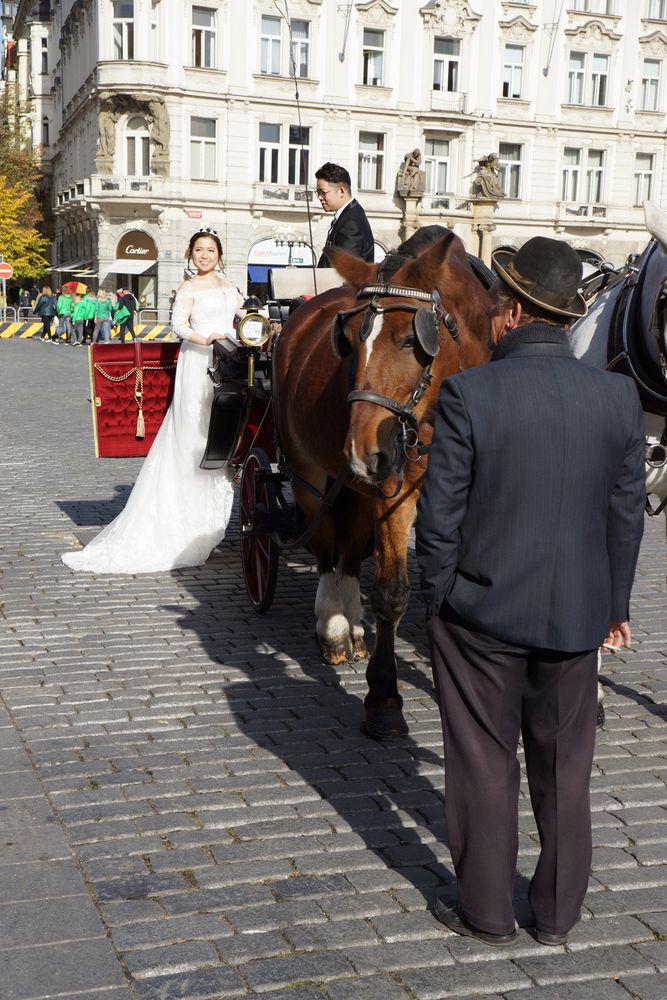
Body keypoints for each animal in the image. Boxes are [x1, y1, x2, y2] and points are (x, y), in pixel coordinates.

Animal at [272, 230, 496, 740]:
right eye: (350, 342)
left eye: (413, 339)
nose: (361, 451)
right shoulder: (396, 497)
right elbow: (392, 593)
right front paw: (384, 696)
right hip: (310, 473)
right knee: (324, 540)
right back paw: (334, 625)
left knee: (351, 542)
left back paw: (352, 624)